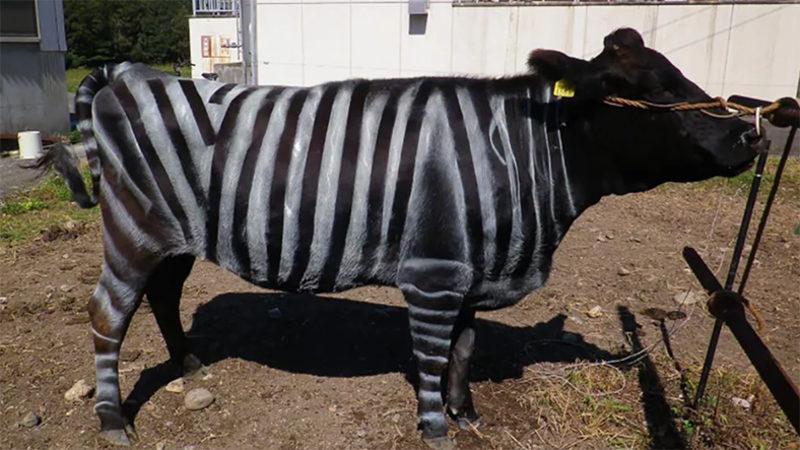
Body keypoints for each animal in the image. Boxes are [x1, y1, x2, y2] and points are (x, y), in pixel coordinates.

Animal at [41, 28, 760, 448]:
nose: (749, 134)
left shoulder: (472, 269)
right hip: (133, 230)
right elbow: (436, 357)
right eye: (637, 91)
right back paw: (113, 422)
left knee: (162, 297)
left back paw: (190, 365)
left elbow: (465, 350)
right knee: (107, 315)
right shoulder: (435, 274)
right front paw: (437, 429)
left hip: (175, 236)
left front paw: (468, 416)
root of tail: (132, 74)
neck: (517, 158)